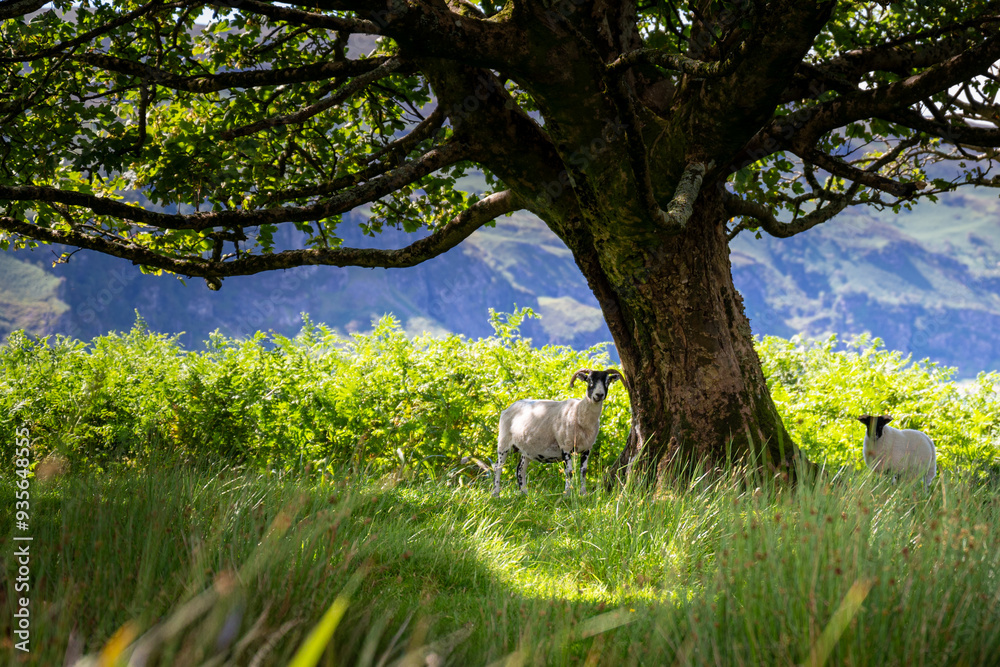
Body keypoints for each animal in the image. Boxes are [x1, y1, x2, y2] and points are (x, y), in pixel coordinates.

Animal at [494, 368, 624, 498]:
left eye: (607, 381)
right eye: (589, 380)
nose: (599, 395)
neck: (578, 411)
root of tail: (509, 407)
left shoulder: (587, 448)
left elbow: (583, 472)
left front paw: (583, 494)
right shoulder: (565, 446)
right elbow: (569, 472)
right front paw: (567, 495)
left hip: (527, 449)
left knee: (520, 469)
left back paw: (525, 494)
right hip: (504, 441)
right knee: (498, 466)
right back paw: (496, 494)